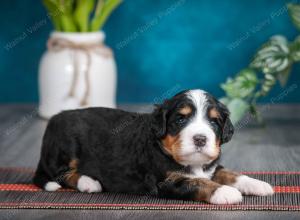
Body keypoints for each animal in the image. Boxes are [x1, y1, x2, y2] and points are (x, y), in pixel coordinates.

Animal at [33, 89, 274, 205]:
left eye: (214, 122)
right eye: (180, 119)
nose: (200, 139)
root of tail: (55, 118)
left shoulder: (211, 167)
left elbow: (229, 173)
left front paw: (257, 184)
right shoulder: (166, 181)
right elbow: (197, 183)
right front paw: (225, 192)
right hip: (66, 148)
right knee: (62, 173)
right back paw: (88, 182)